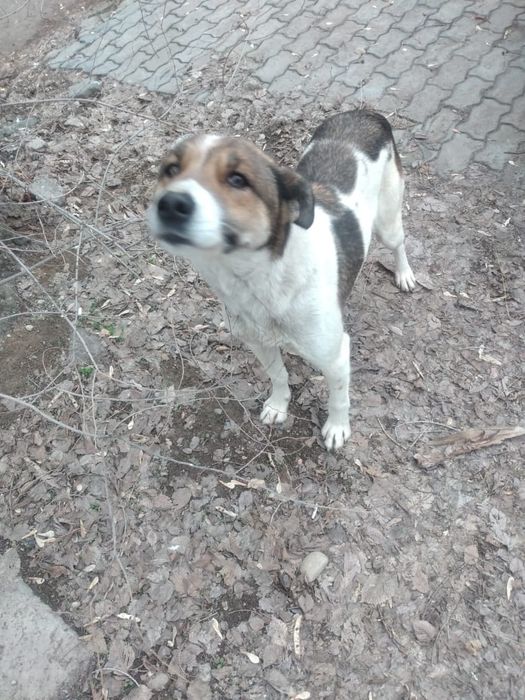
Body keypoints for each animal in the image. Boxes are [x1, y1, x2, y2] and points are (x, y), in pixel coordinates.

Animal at [148, 109, 416, 450]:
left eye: (238, 179)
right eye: (171, 169)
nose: (171, 204)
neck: (262, 281)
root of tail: (366, 112)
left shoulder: (336, 355)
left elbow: (339, 397)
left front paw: (337, 428)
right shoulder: (257, 342)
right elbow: (278, 375)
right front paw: (278, 405)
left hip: (387, 221)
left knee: (399, 243)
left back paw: (405, 274)